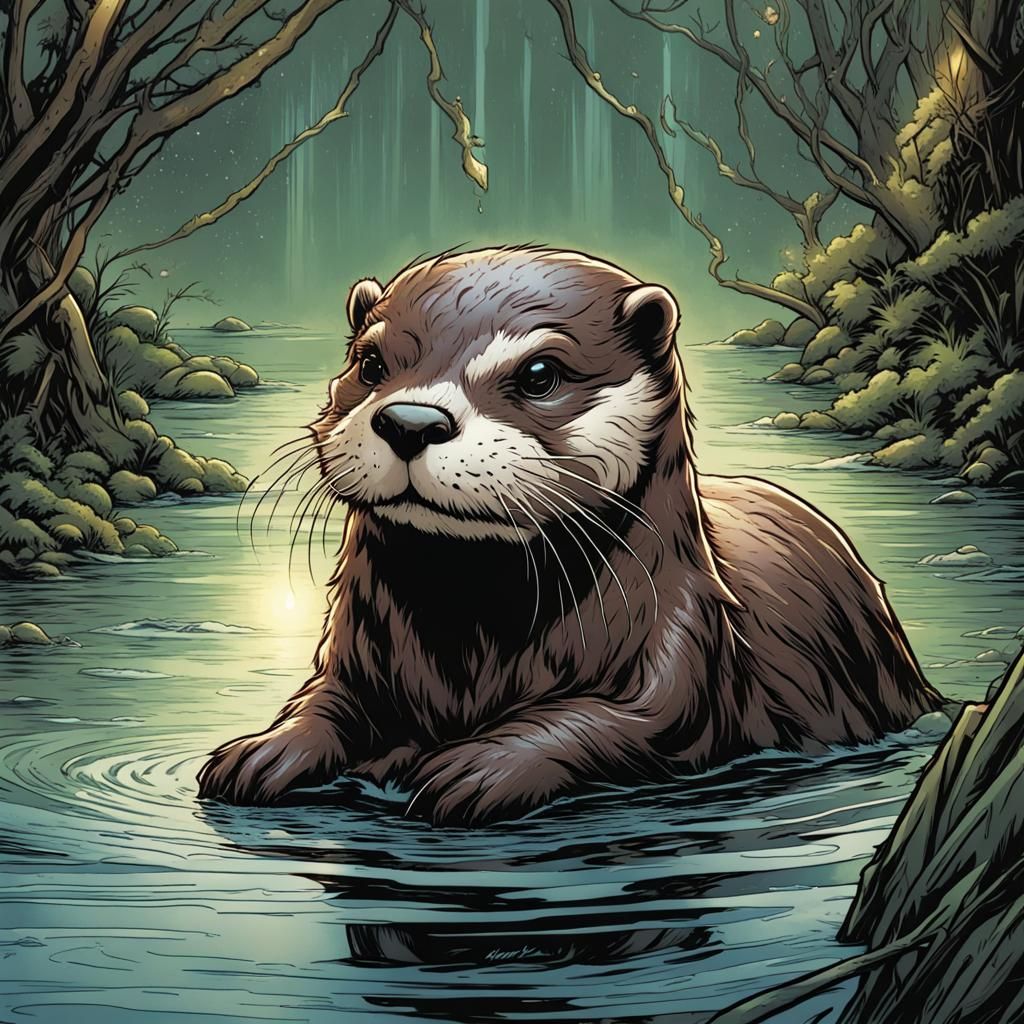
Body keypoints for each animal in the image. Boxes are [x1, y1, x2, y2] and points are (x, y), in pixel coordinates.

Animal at [197, 246, 941, 825]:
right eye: (371, 363)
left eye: (539, 374)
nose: (411, 420)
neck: (475, 646)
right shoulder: (358, 649)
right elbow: (324, 700)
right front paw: (261, 749)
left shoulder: (685, 643)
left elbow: (623, 721)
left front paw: (478, 765)